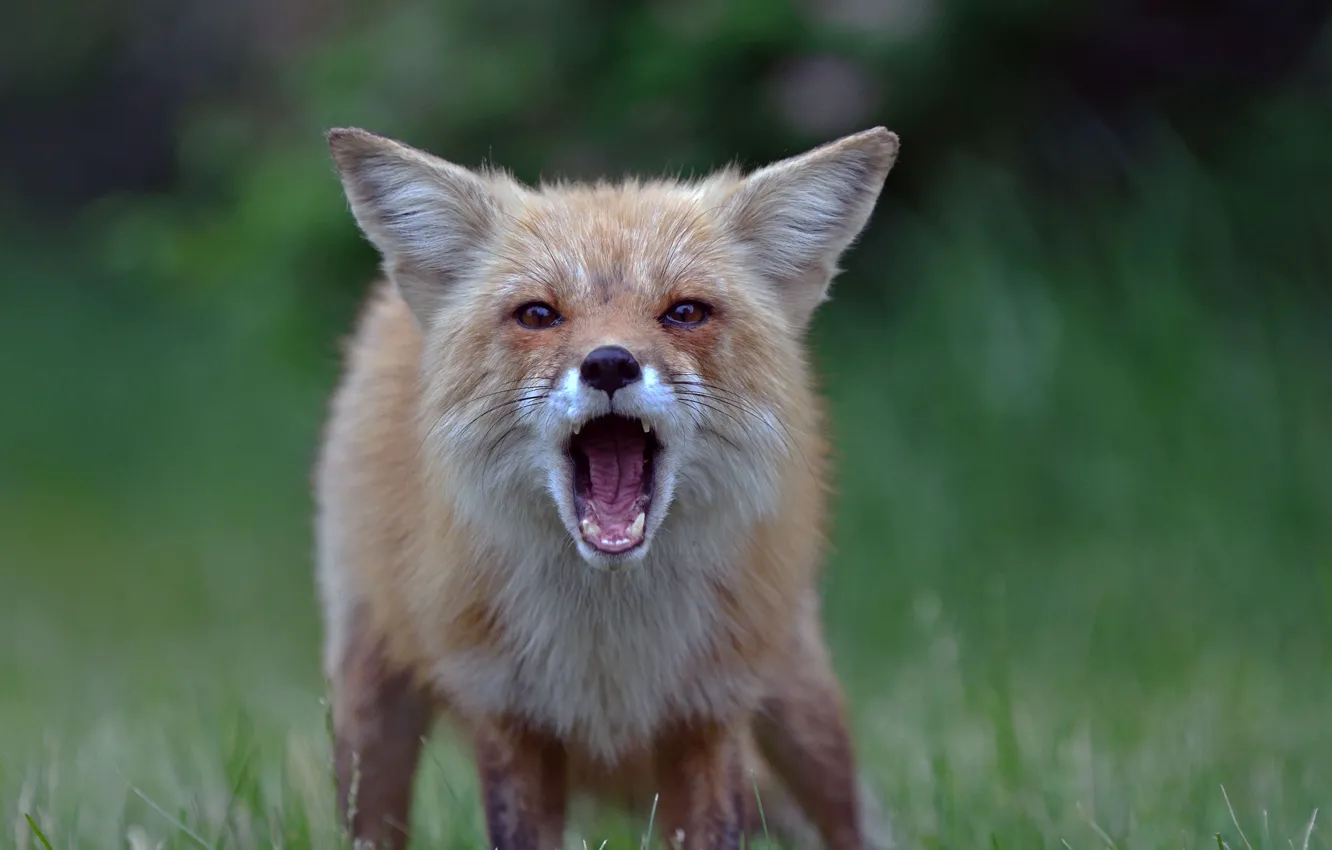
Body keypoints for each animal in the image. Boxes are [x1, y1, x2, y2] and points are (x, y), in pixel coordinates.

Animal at [315, 124, 900, 850]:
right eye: (539, 314)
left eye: (685, 312)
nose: (610, 363)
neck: (609, 646)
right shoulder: (509, 713)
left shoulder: (709, 711)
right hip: (369, 714)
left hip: (800, 700)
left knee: (845, 817)